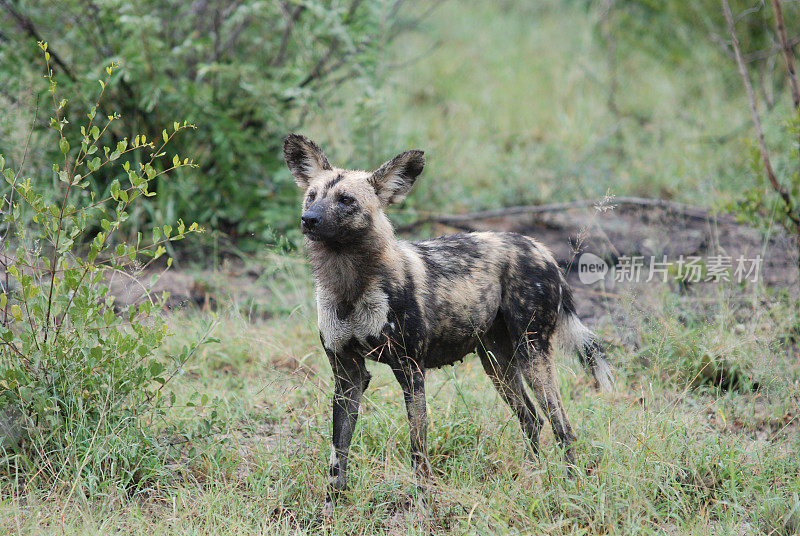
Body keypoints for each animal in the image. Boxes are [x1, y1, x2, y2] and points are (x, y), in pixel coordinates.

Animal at [284, 134, 616, 506]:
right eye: (312, 196)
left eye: (346, 200)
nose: (308, 219)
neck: (349, 284)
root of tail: (539, 247)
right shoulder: (347, 376)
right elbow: (337, 452)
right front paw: (333, 506)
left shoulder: (410, 371)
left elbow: (418, 450)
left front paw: (422, 504)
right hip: (497, 363)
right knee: (532, 419)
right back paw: (532, 477)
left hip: (533, 356)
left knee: (562, 426)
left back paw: (571, 488)